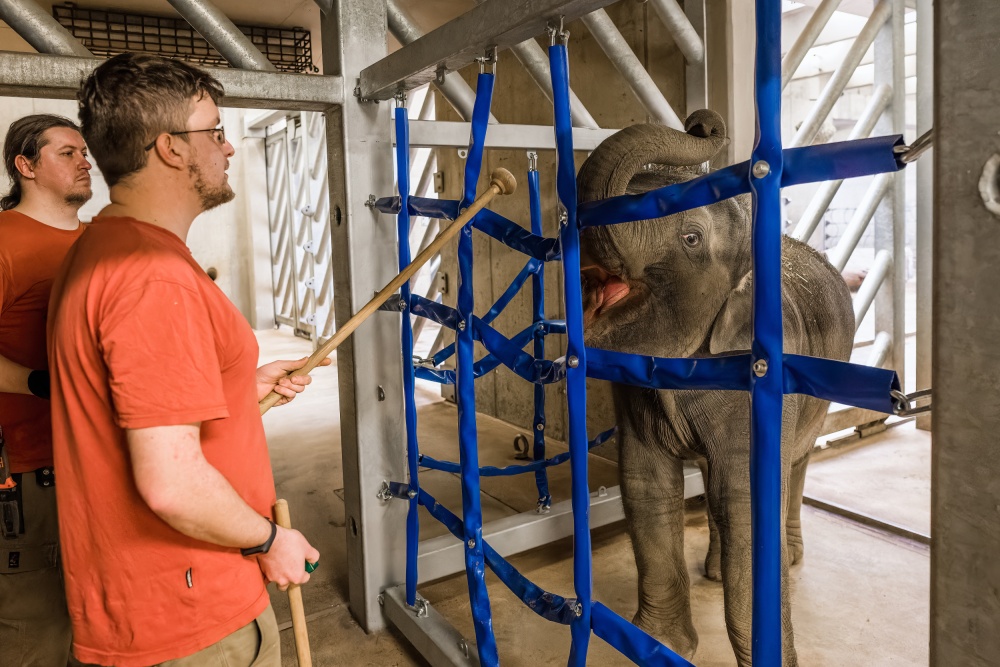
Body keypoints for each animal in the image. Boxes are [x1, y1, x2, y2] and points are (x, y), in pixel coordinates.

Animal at [580, 107, 852, 664]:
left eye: (691, 238)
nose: (701, 123)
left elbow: (748, 502)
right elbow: (646, 485)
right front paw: (659, 645)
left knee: (797, 461)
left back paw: (790, 556)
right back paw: (714, 569)